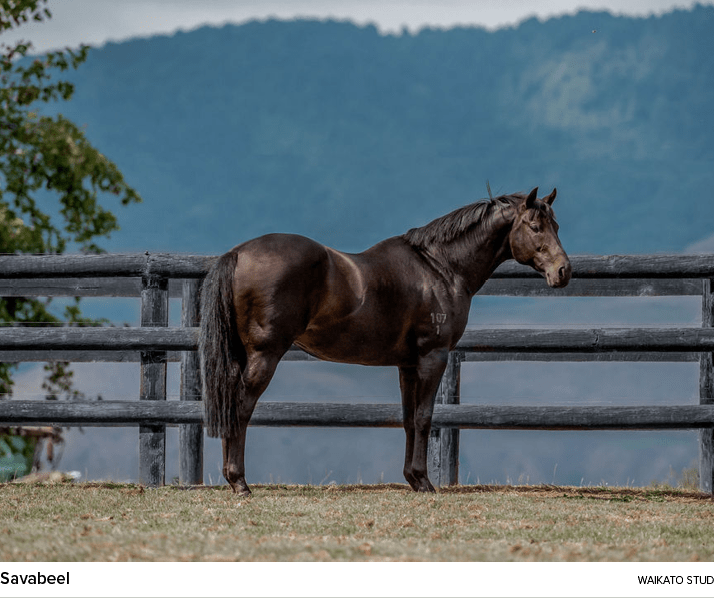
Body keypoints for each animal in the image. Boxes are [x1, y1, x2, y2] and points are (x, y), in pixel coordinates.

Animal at [197, 186, 572, 492]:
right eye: (535, 226)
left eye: (556, 226)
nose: (563, 271)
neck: (441, 267)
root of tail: (239, 253)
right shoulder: (433, 357)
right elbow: (423, 417)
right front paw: (424, 482)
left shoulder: (407, 365)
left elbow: (407, 419)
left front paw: (412, 478)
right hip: (265, 354)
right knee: (242, 406)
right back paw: (240, 482)